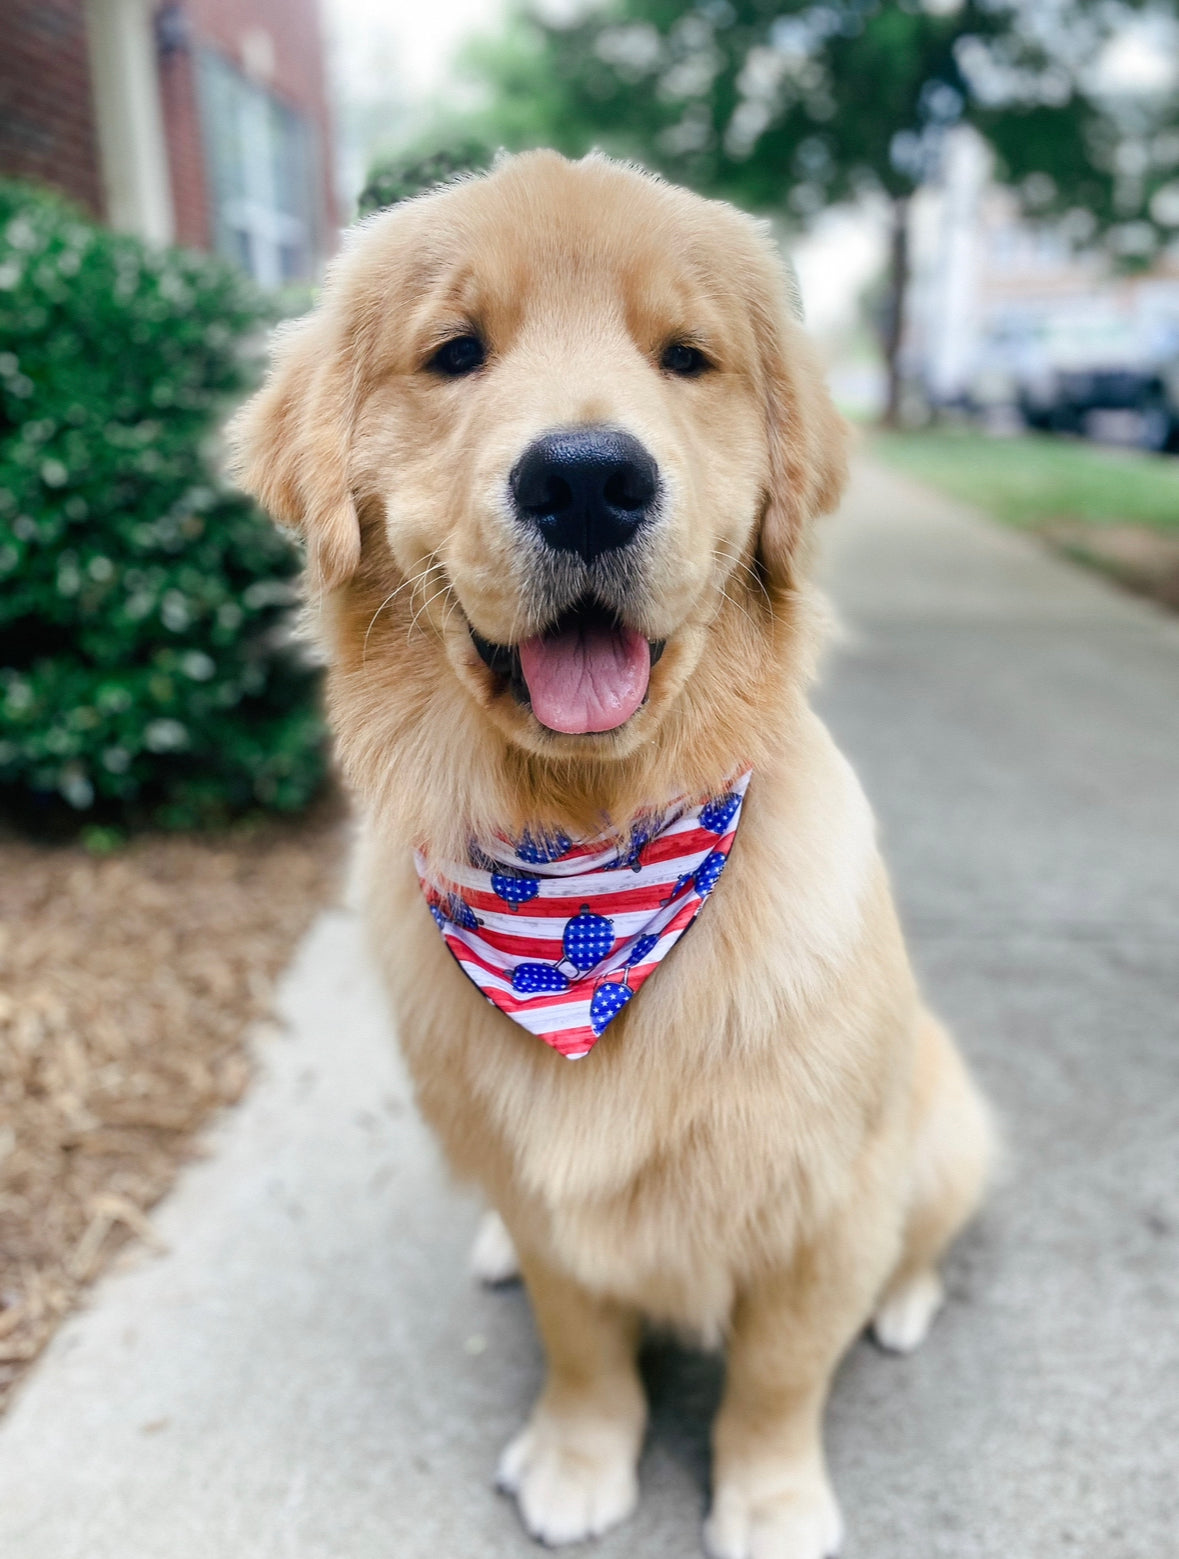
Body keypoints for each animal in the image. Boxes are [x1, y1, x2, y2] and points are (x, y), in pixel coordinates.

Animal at [226, 148, 991, 1559]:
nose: (586, 479)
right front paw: (581, 1456)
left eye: (686, 356)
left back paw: (905, 1302)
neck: (584, 868)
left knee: (923, 1234)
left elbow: (781, 1368)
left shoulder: (831, 1190)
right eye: (455, 351)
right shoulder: (549, 1209)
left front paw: (771, 1497)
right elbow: (578, 1334)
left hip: (944, 1115)